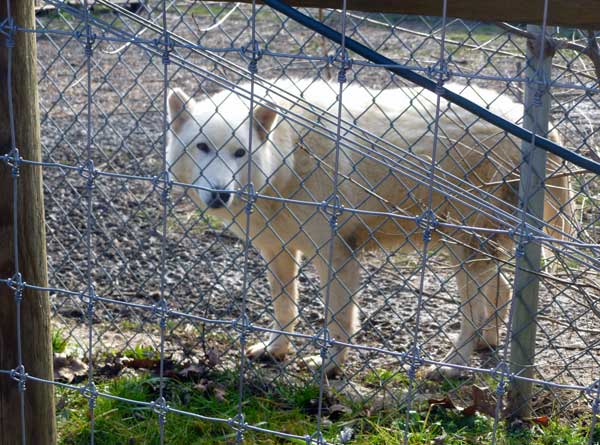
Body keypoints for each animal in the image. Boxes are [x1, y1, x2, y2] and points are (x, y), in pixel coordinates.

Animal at [165, 79, 572, 374]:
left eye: (239, 153)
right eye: (202, 147)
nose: (220, 195)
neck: (290, 154)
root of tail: (538, 128)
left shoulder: (335, 254)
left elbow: (338, 319)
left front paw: (328, 367)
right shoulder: (278, 251)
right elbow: (285, 310)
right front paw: (276, 350)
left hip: (463, 250)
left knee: (474, 313)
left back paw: (452, 367)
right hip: (471, 250)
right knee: (499, 293)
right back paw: (485, 344)